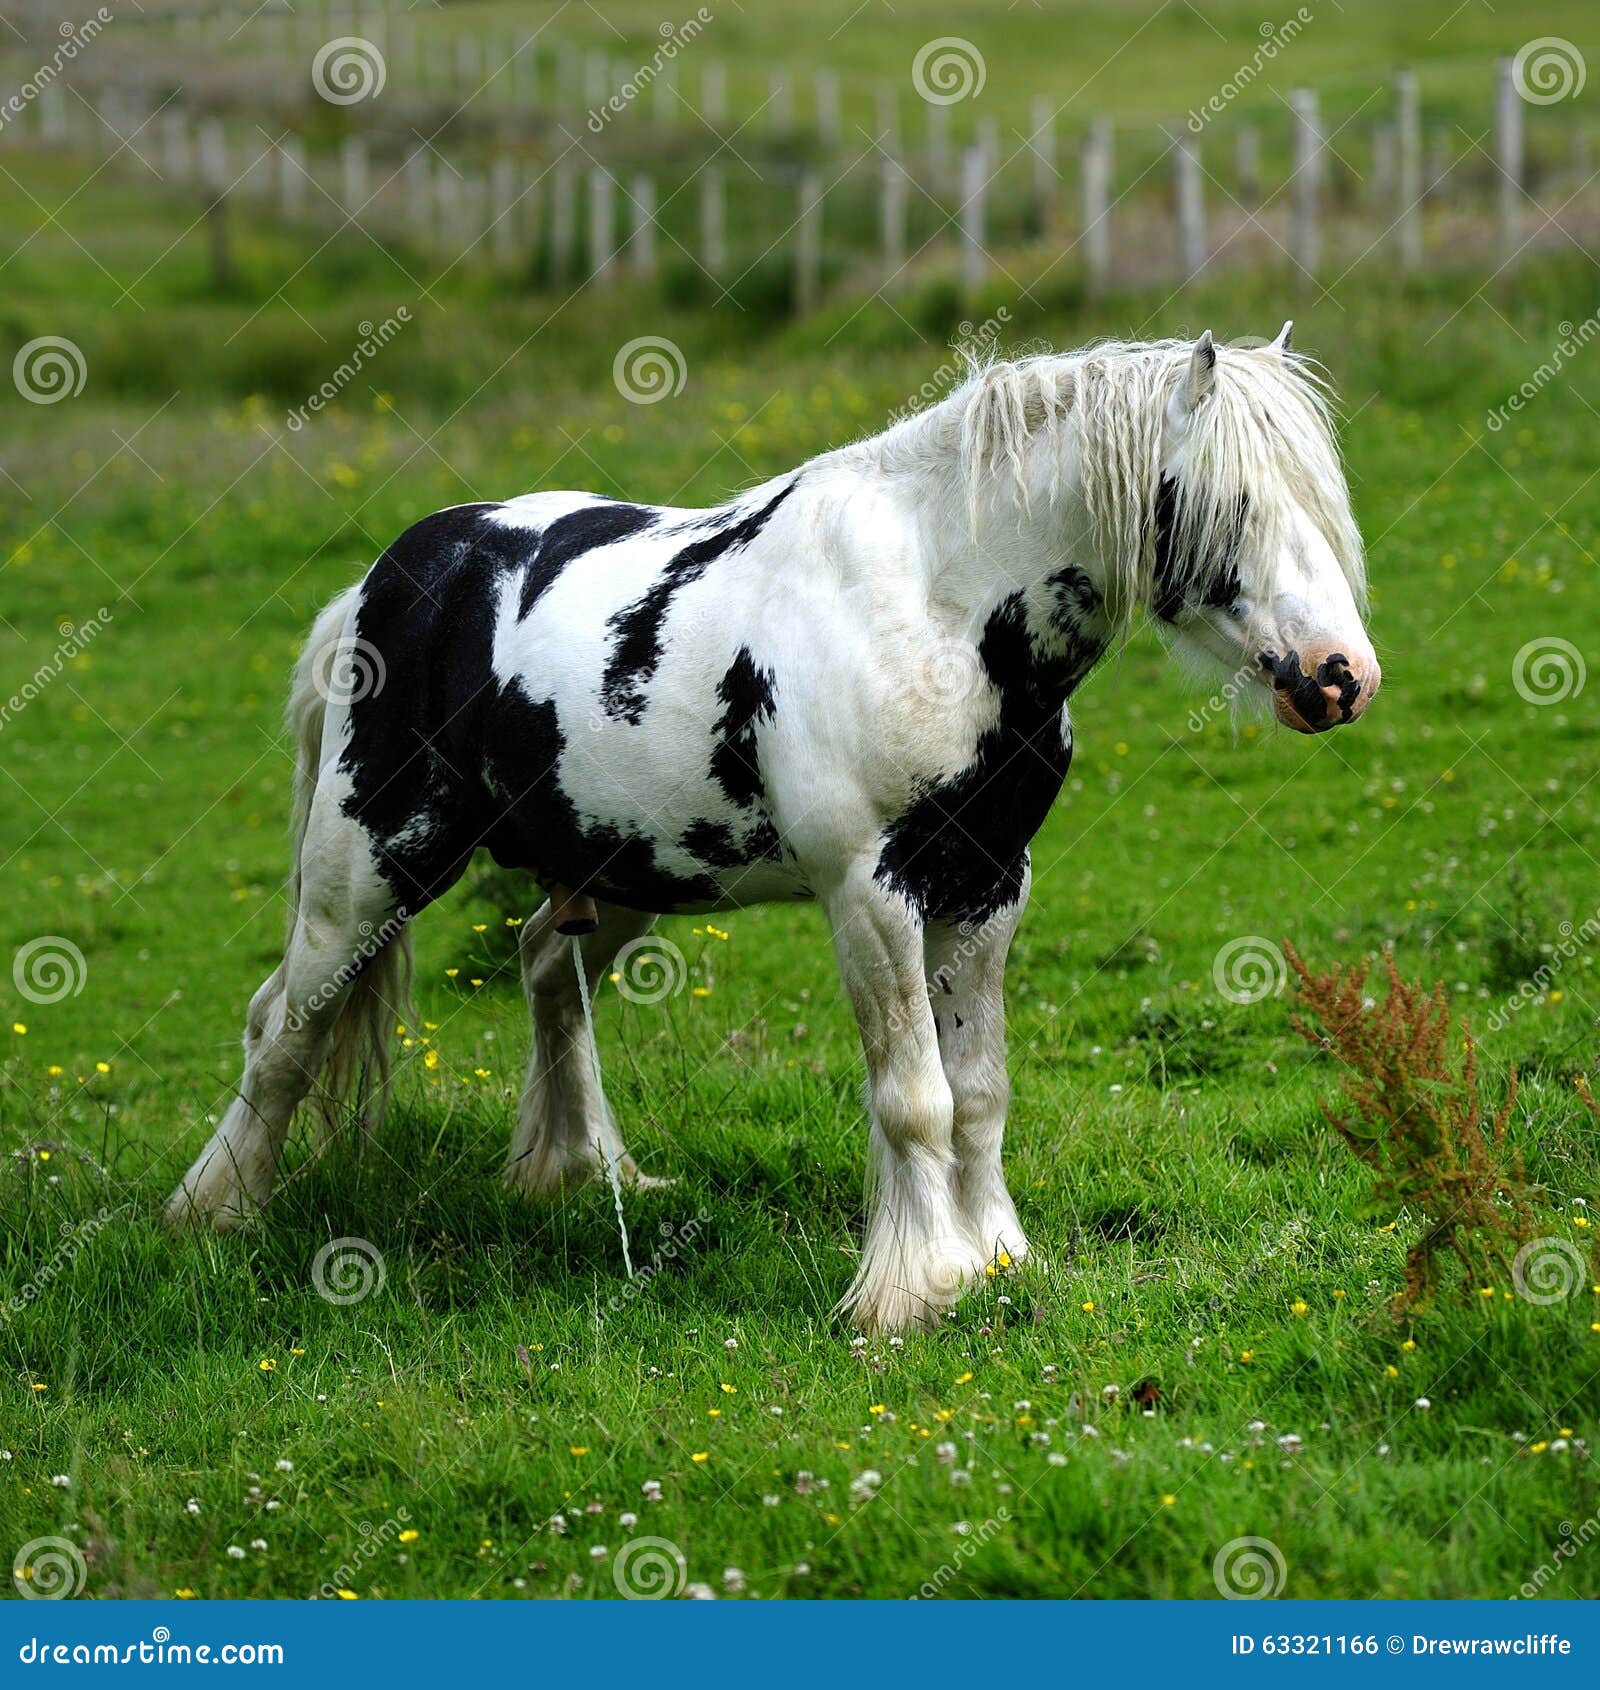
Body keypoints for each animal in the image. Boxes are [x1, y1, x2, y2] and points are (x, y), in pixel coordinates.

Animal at [166, 325, 1379, 1334]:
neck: (937, 603)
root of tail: (386, 580)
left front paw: (997, 1258)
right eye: (1229, 502)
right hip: (367, 872)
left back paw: (584, 1173)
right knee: (284, 1027)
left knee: (544, 971)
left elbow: (979, 1092)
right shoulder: (871, 889)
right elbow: (915, 1096)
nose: (1339, 676)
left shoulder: (989, 886)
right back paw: (218, 1215)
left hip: (615, 877)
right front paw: (913, 1292)